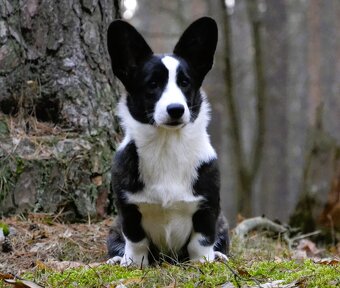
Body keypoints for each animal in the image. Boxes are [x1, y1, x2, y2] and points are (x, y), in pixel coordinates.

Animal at [106, 17, 228, 266]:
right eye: (152, 84)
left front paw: (204, 263)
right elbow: (136, 241)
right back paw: (117, 258)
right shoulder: (128, 209)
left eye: (185, 83)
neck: (167, 144)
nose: (176, 109)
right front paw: (134, 264)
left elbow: (201, 241)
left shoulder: (208, 207)